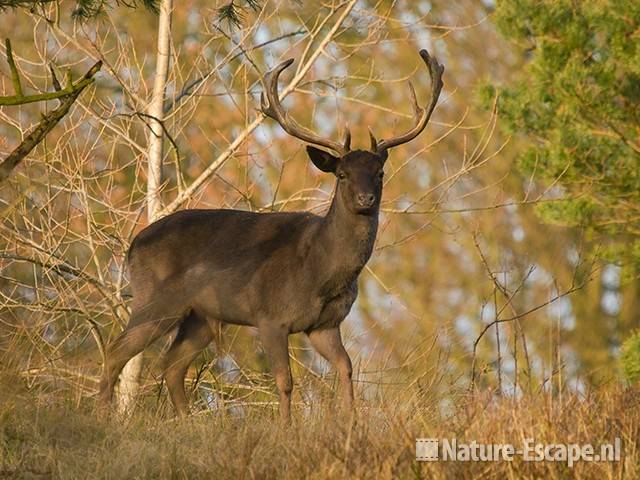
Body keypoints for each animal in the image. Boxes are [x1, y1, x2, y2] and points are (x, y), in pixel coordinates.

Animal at [97, 49, 442, 420]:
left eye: (379, 173)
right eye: (342, 174)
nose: (367, 199)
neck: (321, 271)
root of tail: (133, 245)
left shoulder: (325, 325)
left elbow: (346, 369)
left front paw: (351, 424)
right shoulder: (270, 316)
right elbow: (285, 382)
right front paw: (286, 427)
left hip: (200, 315)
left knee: (172, 364)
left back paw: (185, 422)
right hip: (157, 298)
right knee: (116, 351)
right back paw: (100, 414)